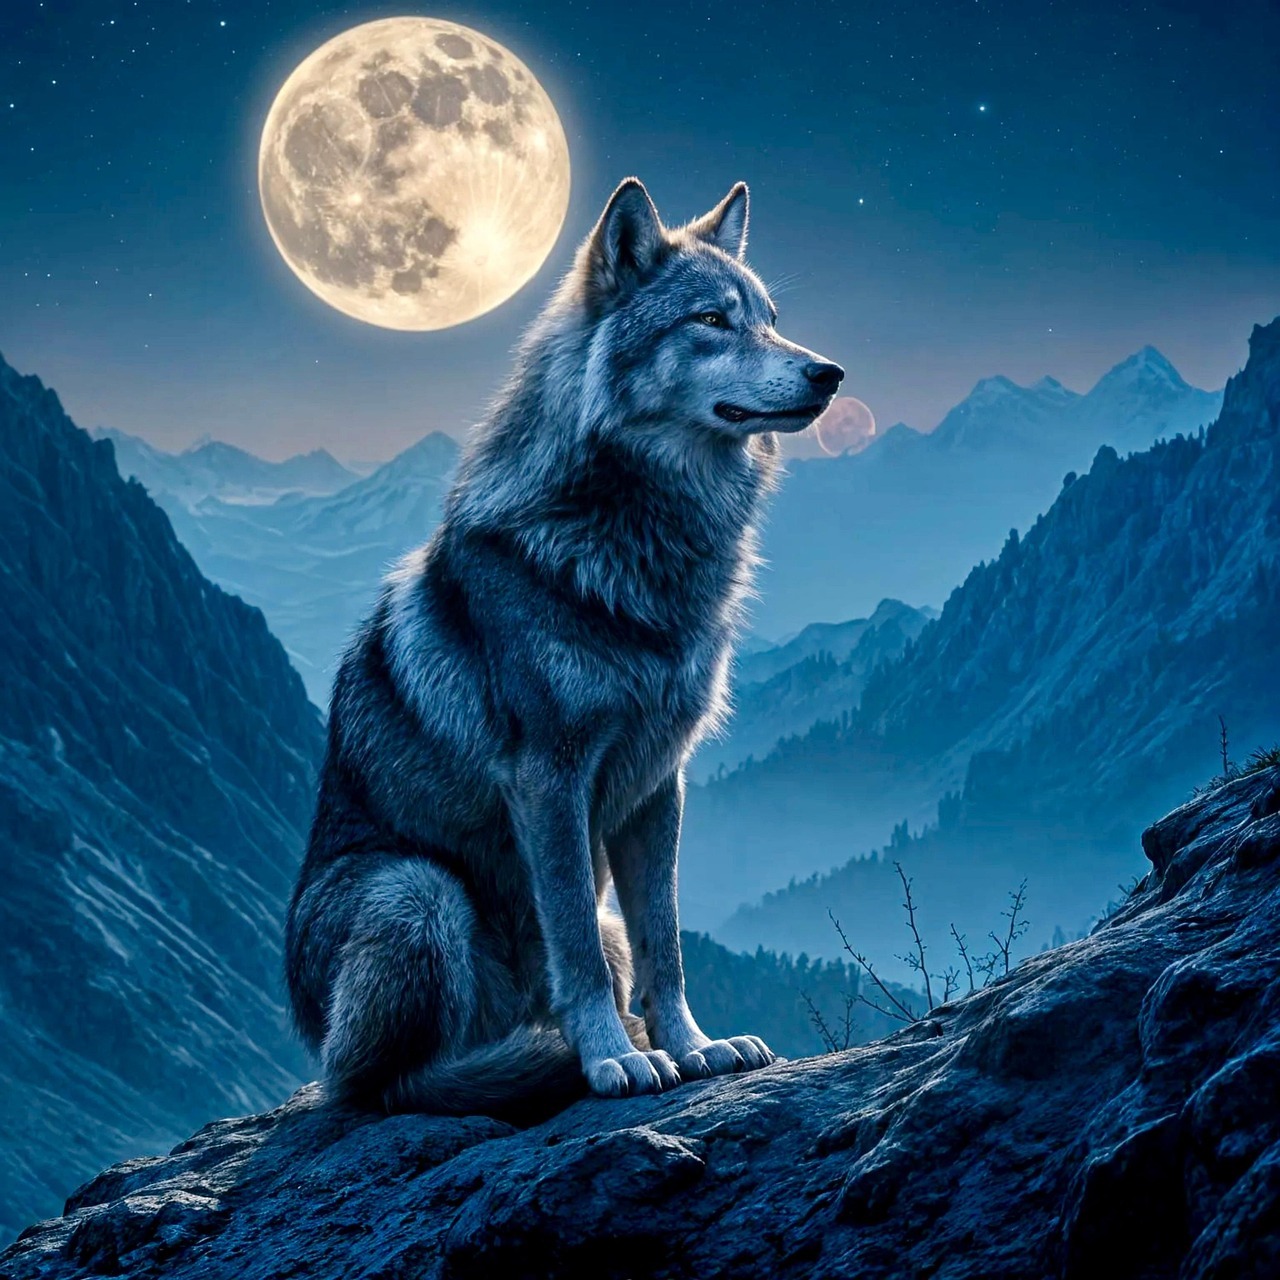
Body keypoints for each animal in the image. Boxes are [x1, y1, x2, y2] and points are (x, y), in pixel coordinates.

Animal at [285, 177, 844, 1118]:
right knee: (375, 1085)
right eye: (711, 321)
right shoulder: (549, 778)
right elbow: (574, 942)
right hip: (415, 891)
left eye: (770, 318)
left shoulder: (659, 782)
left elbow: (666, 945)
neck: (638, 544)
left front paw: (693, 1048)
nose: (830, 373)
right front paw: (614, 1060)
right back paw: (526, 1065)